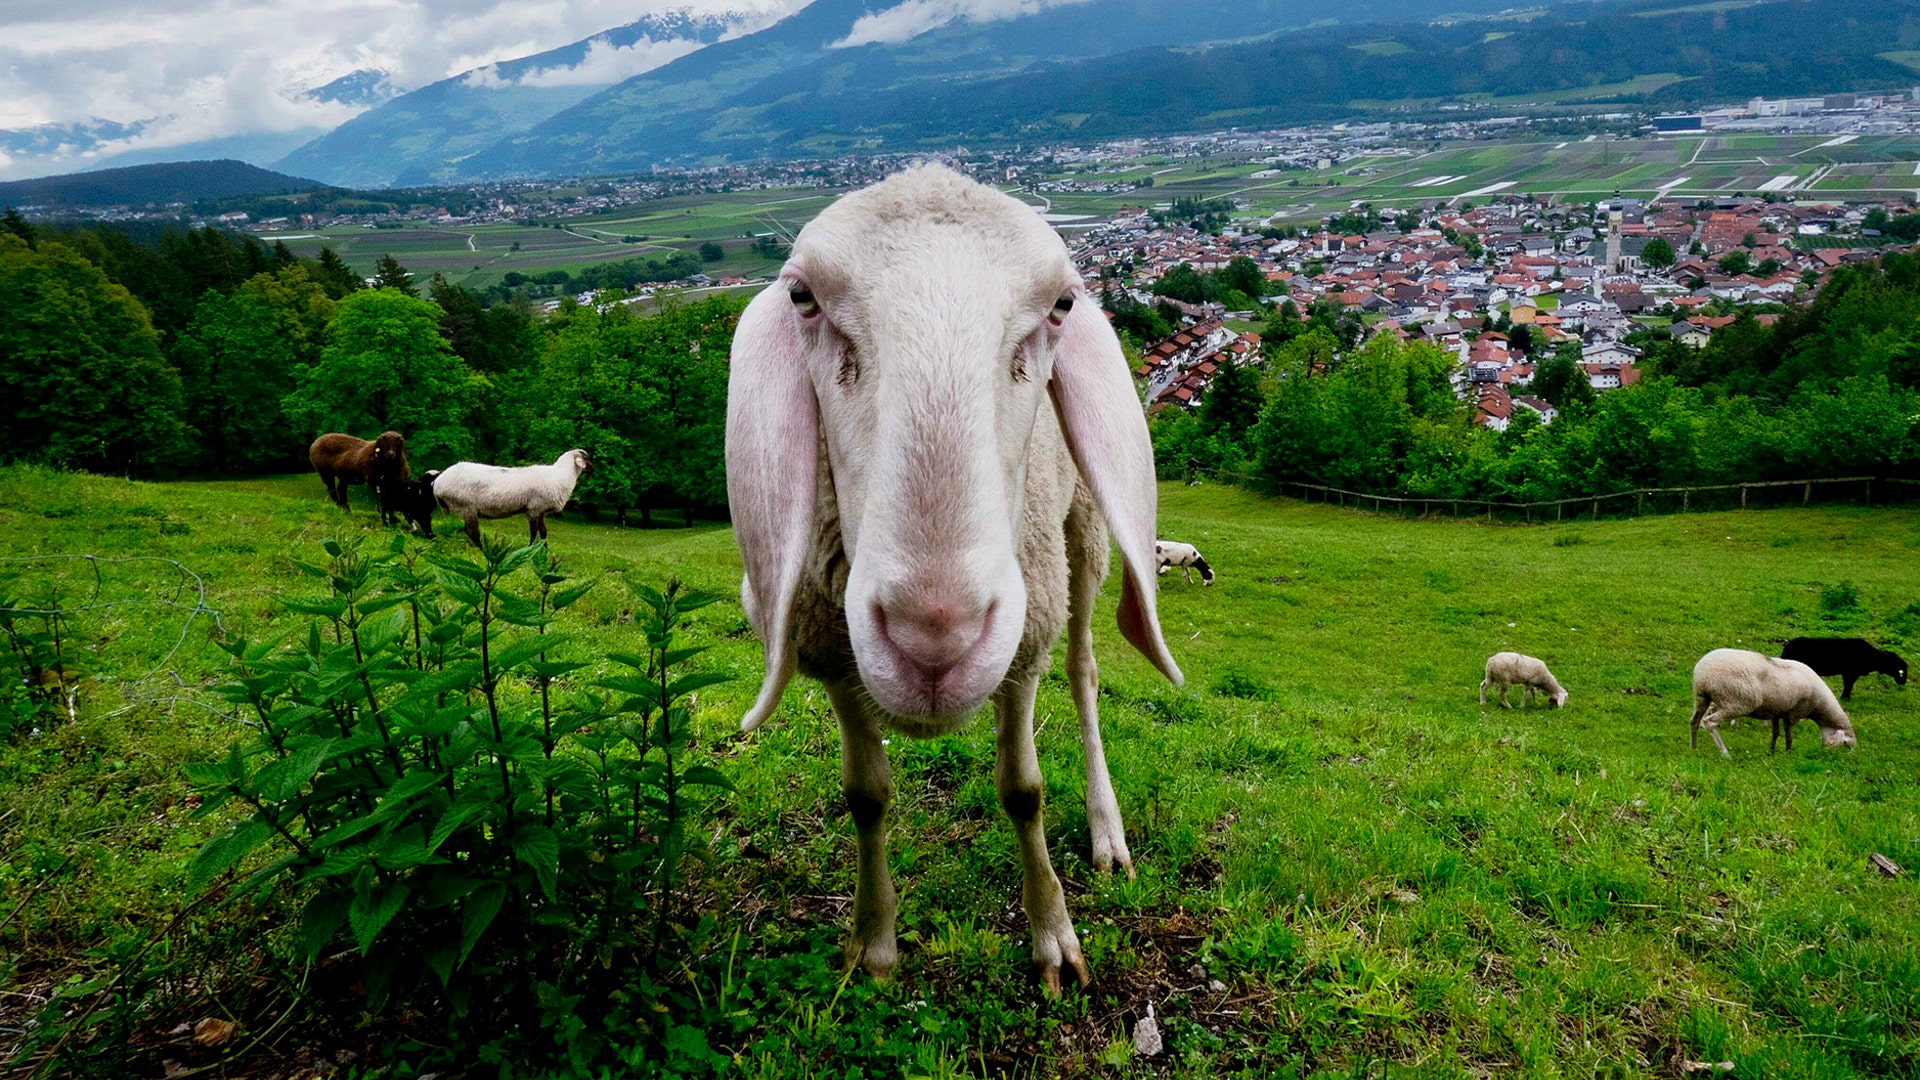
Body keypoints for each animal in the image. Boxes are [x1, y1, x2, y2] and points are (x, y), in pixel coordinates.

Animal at [432, 450, 591, 546]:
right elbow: (534, 531)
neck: (561, 475)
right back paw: (483, 549)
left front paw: (544, 549)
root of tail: (438, 483)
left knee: (468, 530)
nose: (593, 468)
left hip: (466, 508)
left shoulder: (540, 510)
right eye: (587, 458)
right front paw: (531, 548)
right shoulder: (533, 509)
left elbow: (543, 531)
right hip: (466, 506)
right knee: (472, 531)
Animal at [726, 164, 1182, 992]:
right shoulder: (832, 655)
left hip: (1080, 538)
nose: (934, 633)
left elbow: (1023, 792)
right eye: (803, 298)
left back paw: (1107, 831)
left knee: (1085, 672)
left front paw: (1053, 936)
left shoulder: (1022, 647)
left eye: (1062, 305)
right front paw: (873, 944)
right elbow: (865, 796)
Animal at [1689, 648, 1857, 759]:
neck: (1820, 706)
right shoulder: (1794, 713)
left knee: (1694, 721)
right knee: (1709, 722)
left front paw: (1772, 752)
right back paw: (1725, 754)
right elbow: (1789, 736)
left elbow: (1775, 733)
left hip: (1702, 697)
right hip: (1737, 702)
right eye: (1845, 745)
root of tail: (1703, 672)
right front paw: (1788, 753)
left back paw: (1694, 748)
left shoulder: (1777, 711)